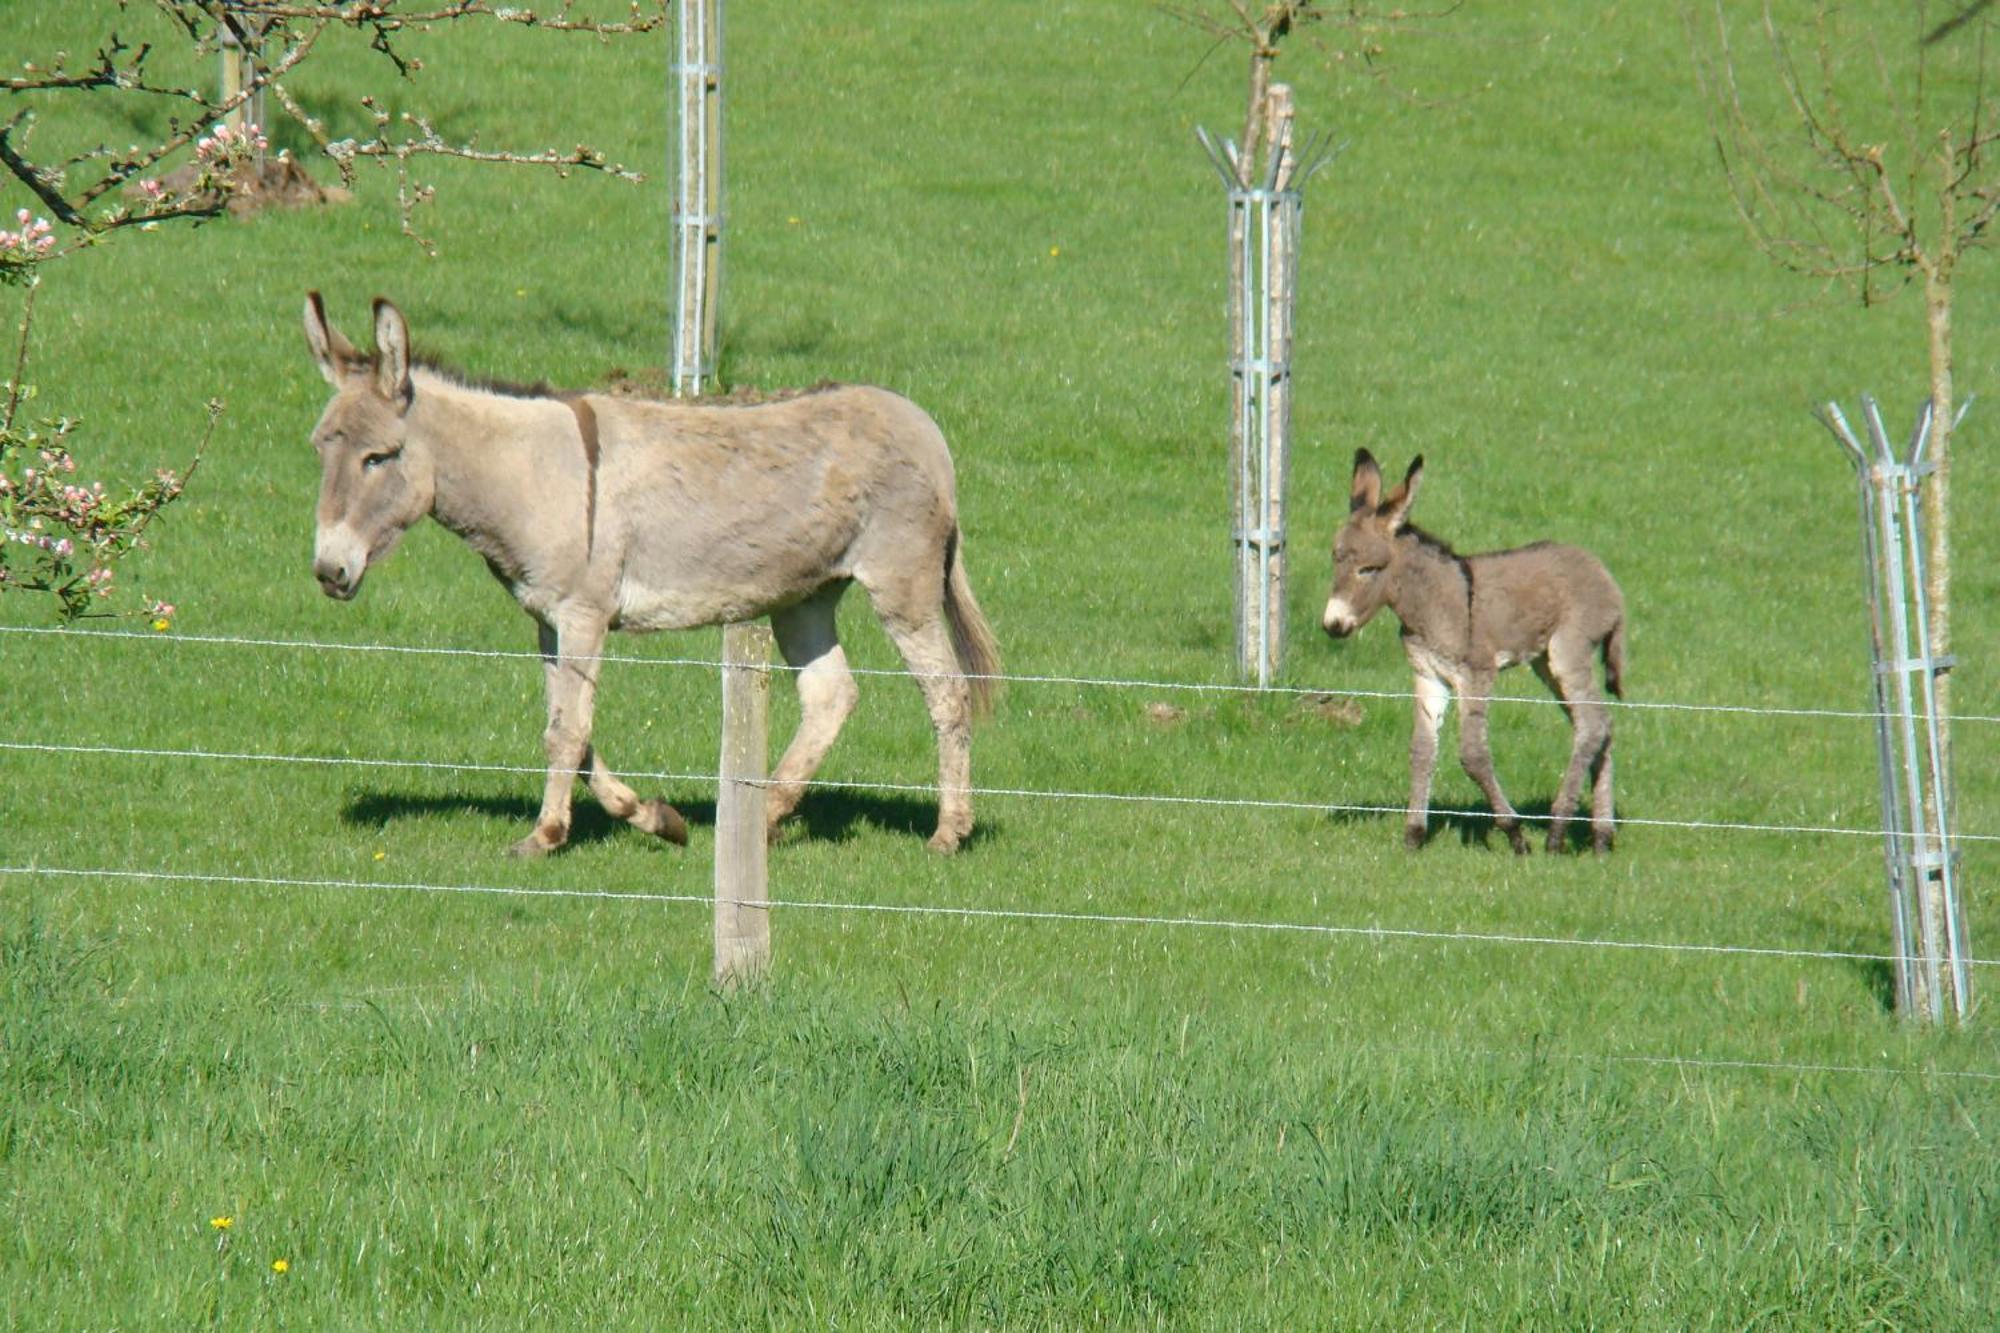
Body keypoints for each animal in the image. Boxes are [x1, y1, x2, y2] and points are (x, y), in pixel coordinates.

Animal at [1328, 448, 1624, 852]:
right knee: (1599, 723)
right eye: (1334, 559)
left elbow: (1473, 754)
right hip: (1546, 664)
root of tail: (1604, 575)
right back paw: (1601, 837)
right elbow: (1421, 750)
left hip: (1570, 651)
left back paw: (1557, 832)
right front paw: (1413, 836)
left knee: (1592, 724)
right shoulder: (1428, 673)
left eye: (1369, 569)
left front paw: (1514, 834)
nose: (1332, 625)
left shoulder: (1475, 675)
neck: (1431, 604)